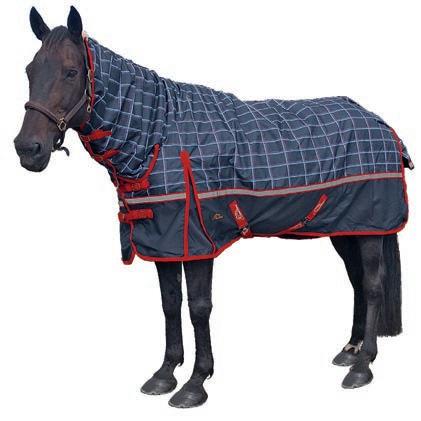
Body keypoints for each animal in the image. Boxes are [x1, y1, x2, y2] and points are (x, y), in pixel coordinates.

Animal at [14, 6, 411, 408]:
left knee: (373, 285)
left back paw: (362, 366)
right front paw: (164, 374)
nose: (27, 148)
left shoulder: (198, 241)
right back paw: (350, 349)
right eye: (31, 70)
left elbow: (198, 308)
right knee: (357, 281)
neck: (158, 137)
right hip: (348, 227)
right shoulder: (165, 241)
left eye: (71, 71)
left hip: (369, 227)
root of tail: (382, 125)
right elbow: (170, 304)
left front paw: (196, 382)